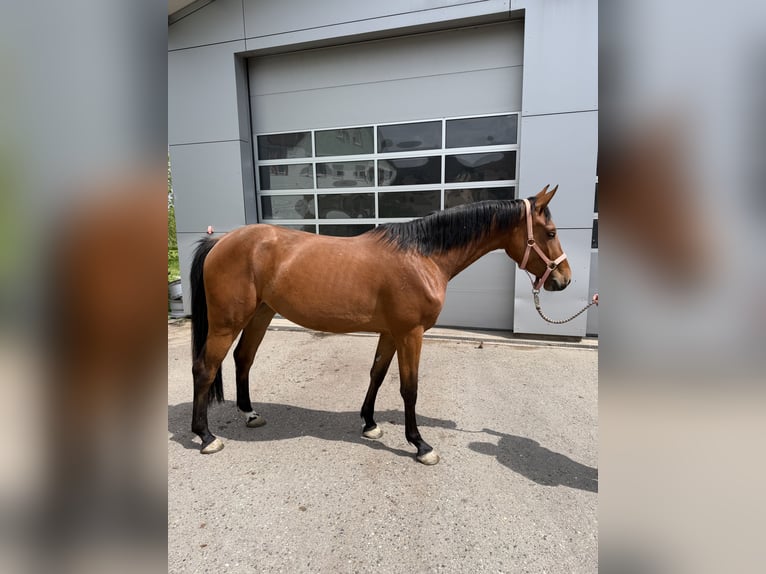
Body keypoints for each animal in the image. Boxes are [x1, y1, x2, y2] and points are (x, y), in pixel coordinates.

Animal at [189, 185, 571, 464]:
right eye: (551, 233)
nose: (564, 280)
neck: (422, 255)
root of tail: (220, 240)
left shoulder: (390, 332)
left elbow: (377, 373)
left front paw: (370, 424)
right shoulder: (410, 334)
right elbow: (409, 388)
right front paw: (420, 444)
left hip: (261, 314)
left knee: (243, 358)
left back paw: (250, 414)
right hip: (226, 322)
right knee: (205, 368)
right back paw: (205, 436)